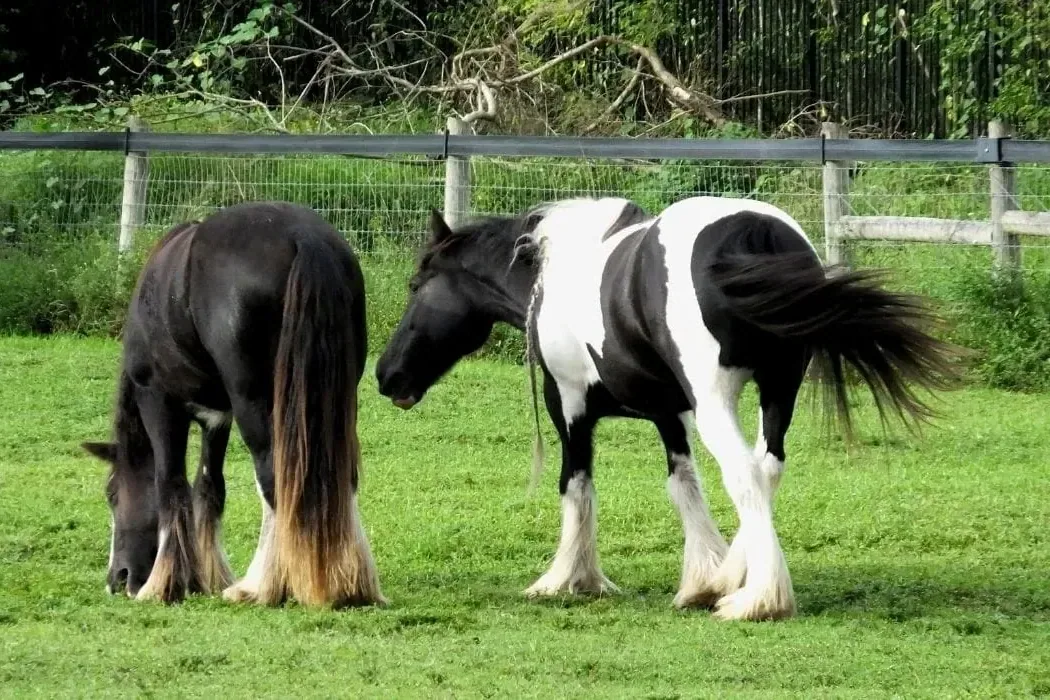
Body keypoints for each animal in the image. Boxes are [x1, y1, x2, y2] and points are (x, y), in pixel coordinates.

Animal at [81, 200, 384, 608]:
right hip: (335, 402)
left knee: (273, 477)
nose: (119, 578)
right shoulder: (217, 418)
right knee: (342, 476)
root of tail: (304, 237)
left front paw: (162, 585)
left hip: (253, 403)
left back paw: (262, 586)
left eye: (112, 494)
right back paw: (351, 584)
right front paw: (203, 577)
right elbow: (210, 487)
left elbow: (170, 485)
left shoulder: (159, 402)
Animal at [375, 195, 959, 621]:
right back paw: (734, 581)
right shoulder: (668, 413)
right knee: (768, 468)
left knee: (745, 473)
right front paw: (703, 578)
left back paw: (758, 599)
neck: (547, 272)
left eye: (415, 285)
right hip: (779, 390)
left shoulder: (569, 405)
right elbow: (684, 485)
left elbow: (577, 486)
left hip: (717, 400)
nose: (387, 375)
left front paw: (569, 579)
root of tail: (756, 236)